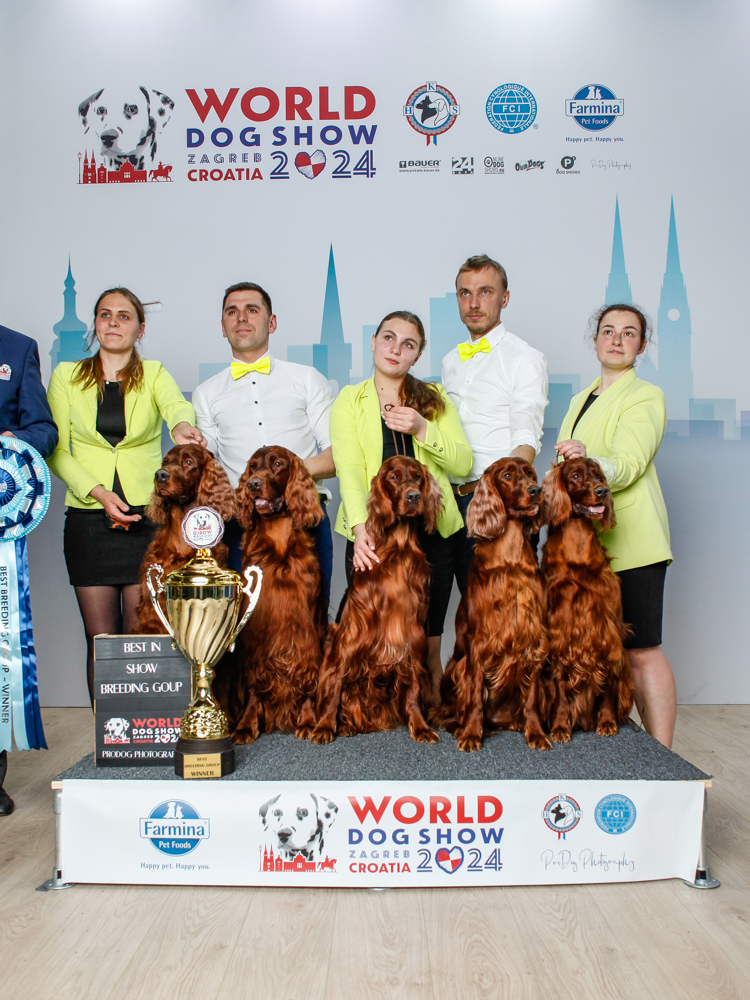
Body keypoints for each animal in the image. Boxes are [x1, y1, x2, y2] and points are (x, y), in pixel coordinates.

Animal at [541, 458, 635, 741]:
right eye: (575, 476)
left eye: (598, 475)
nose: (602, 490)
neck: (577, 547)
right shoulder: (560, 629)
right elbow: (561, 685)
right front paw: (560, 726)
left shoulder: (607, 630)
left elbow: (607, 683)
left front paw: (607, 722)